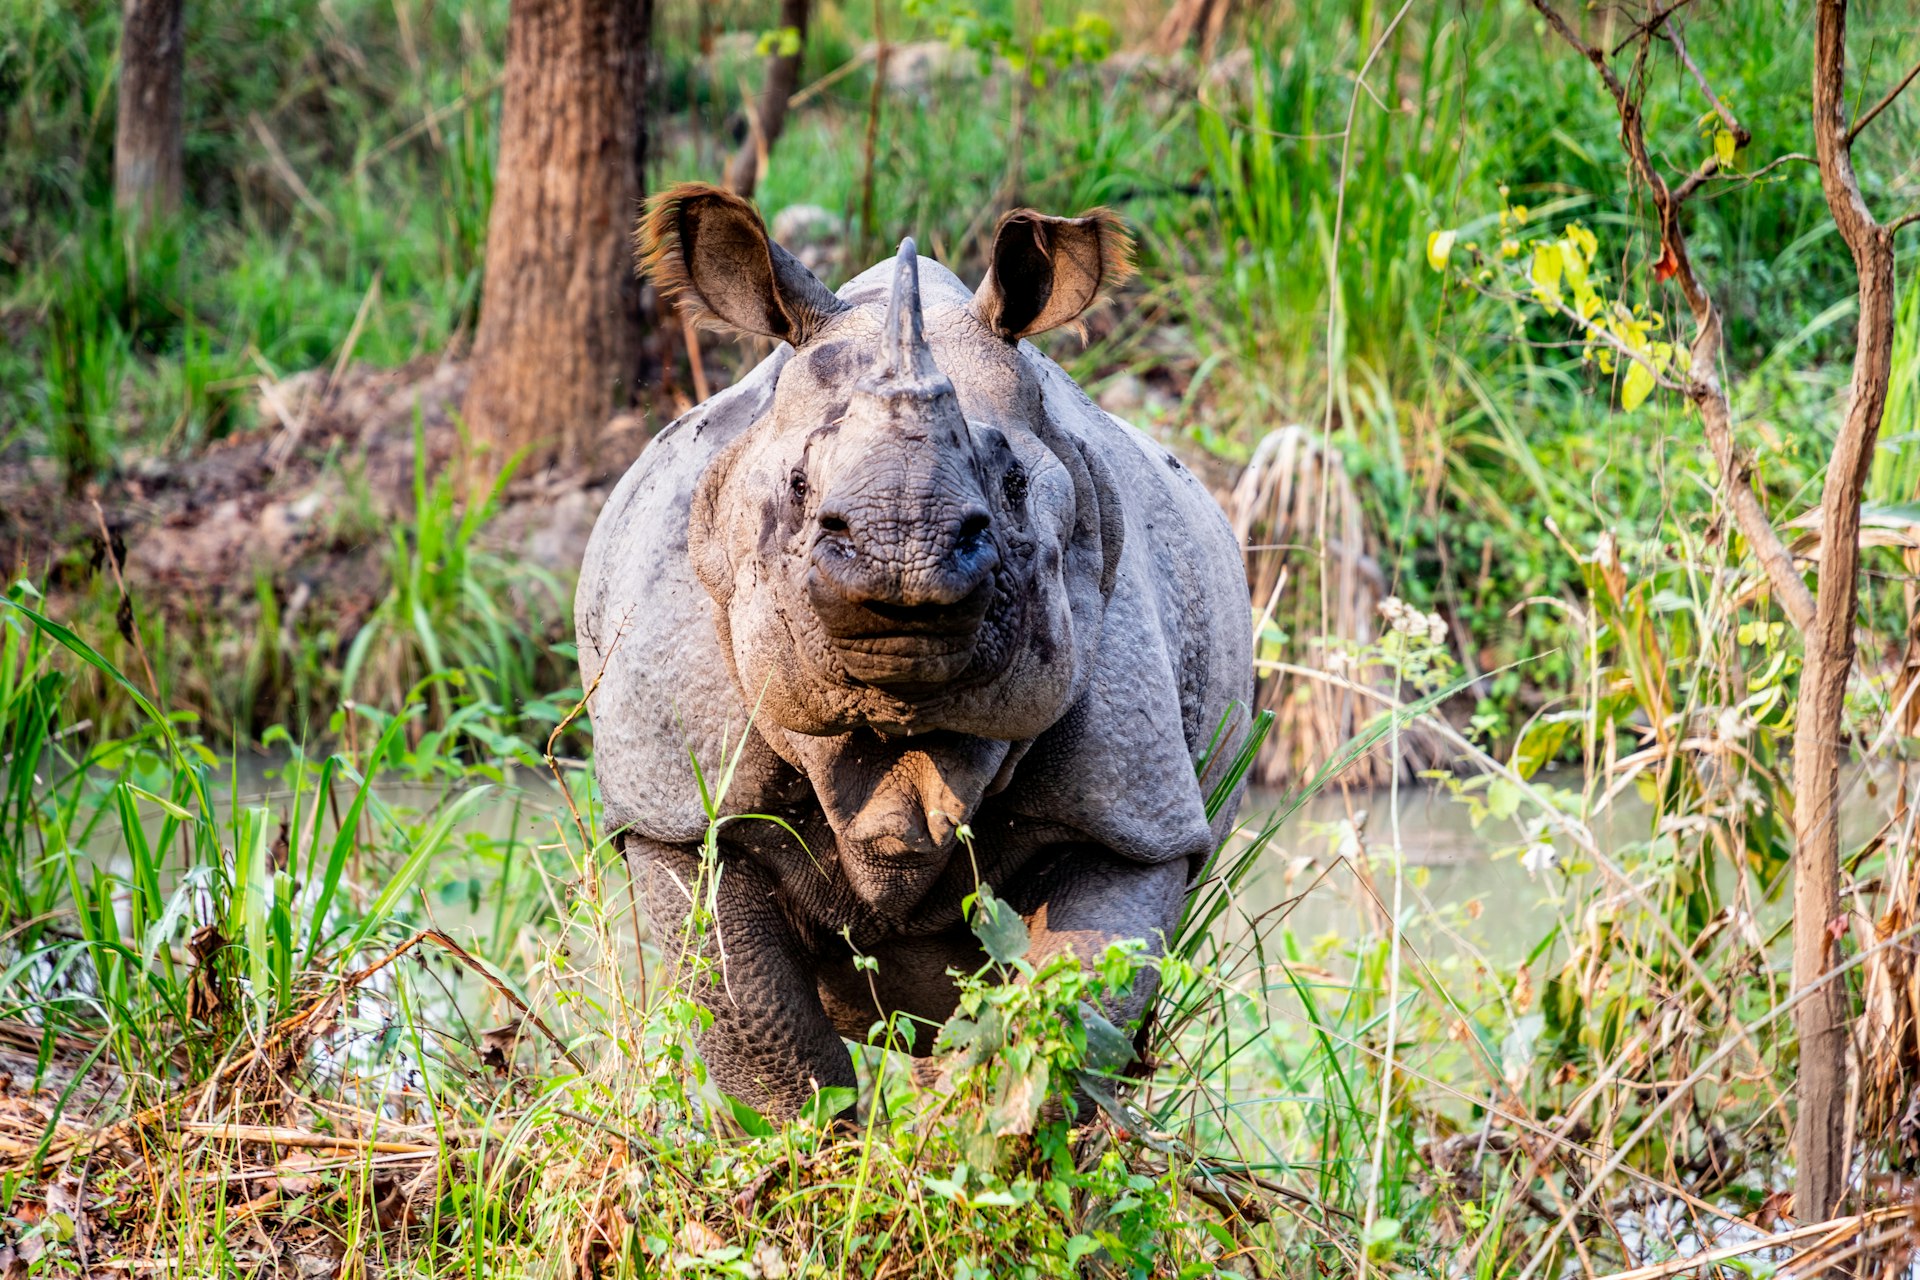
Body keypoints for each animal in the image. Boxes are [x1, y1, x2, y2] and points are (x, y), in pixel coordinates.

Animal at [575, 183, 1252, 1119]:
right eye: (797, 487)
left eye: (1013, 485)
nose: (904, 551)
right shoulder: (680, 804)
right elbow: (761, 1032)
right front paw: (822, 1150)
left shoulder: (1132, 815)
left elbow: (1068, 1014)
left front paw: (972, 1135)